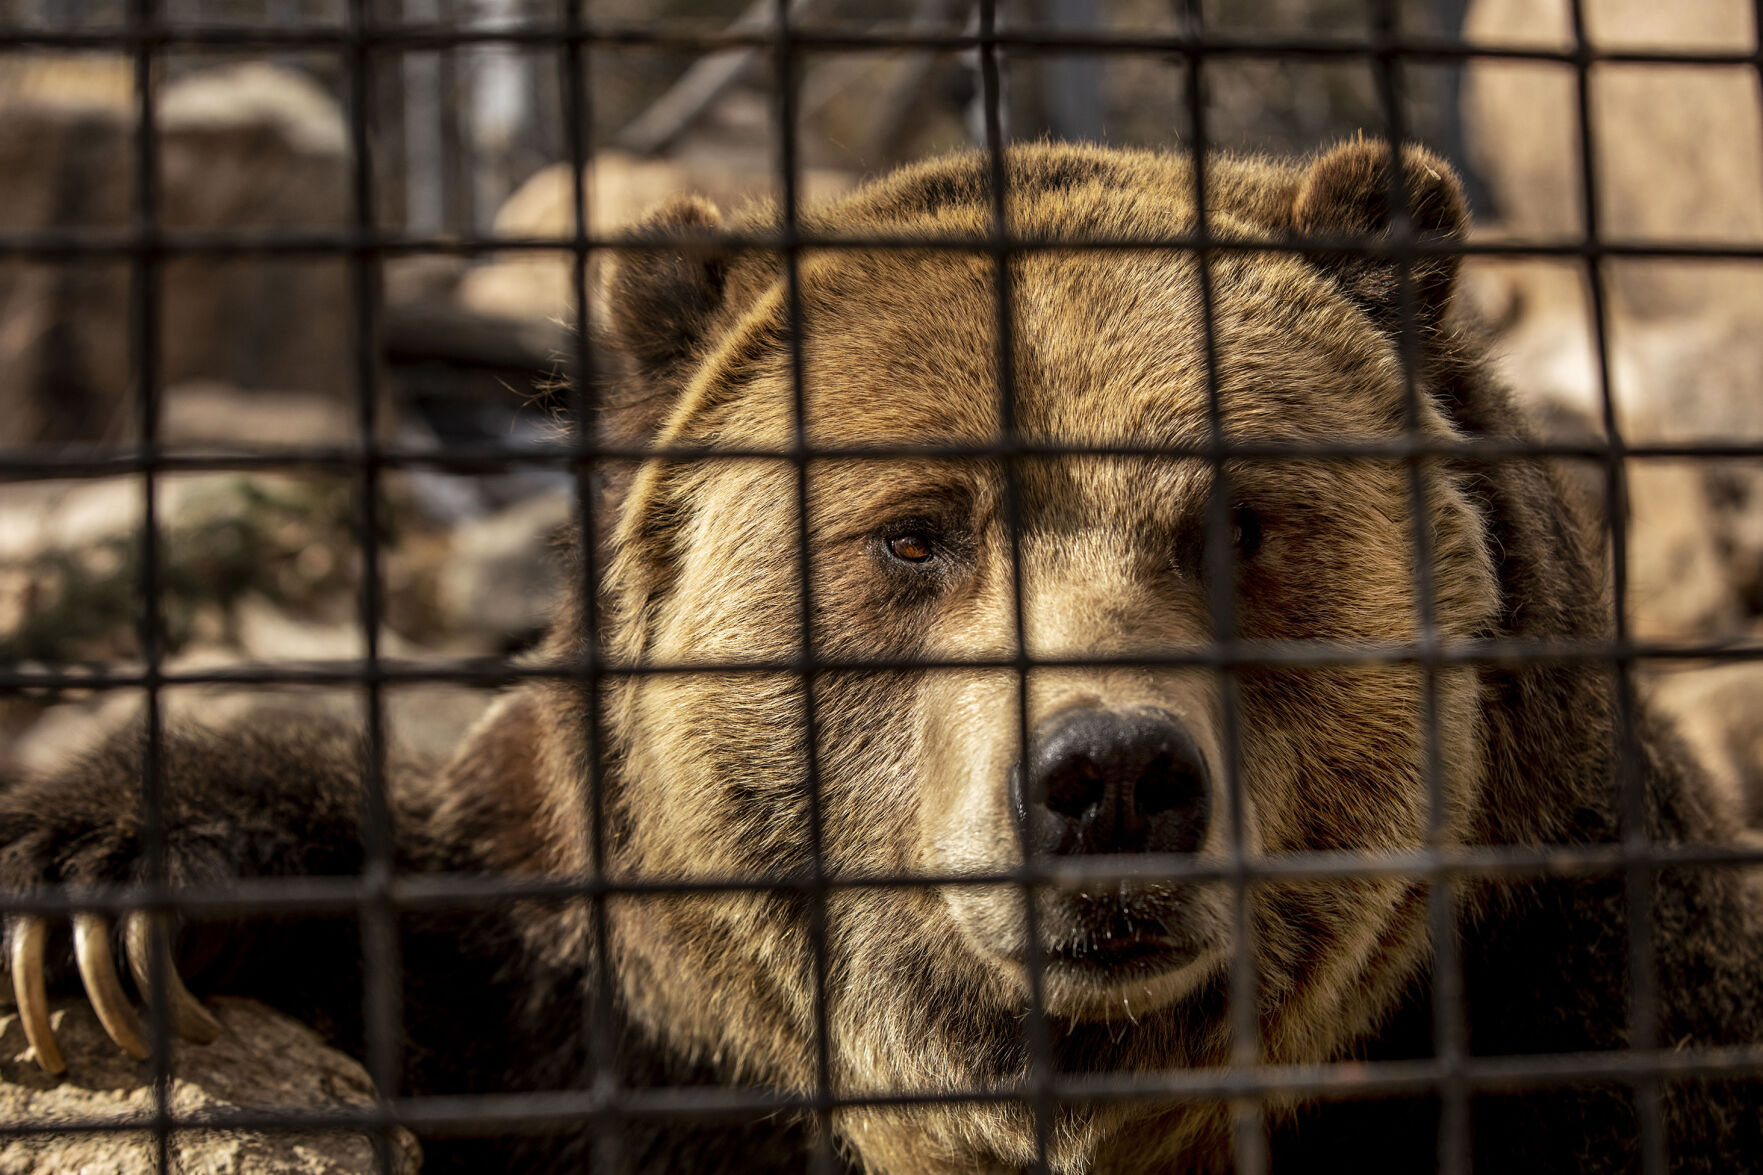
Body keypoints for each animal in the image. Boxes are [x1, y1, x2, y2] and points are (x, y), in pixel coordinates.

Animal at [2, 138, 1762, 1175]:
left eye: (1230, 521)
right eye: (916, 533)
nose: (1109, 775)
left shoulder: (1577, 989)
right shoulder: (602, 1002)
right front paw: (98, 896)